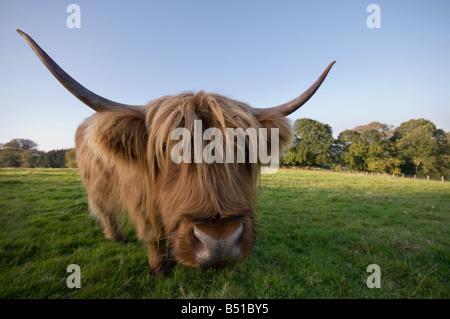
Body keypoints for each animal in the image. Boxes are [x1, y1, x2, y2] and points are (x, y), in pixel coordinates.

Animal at [17, 29, 334, 276]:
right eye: (166, 147)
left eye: (244, 146)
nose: (219, 243)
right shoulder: (140, 199)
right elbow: (152, 234)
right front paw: (160, 270)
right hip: (95, 183)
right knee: (104, 208)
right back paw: (116, 237)